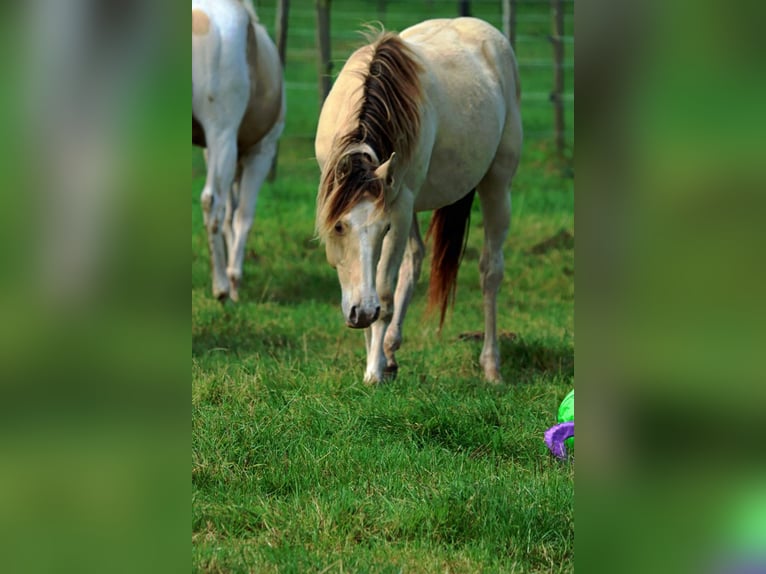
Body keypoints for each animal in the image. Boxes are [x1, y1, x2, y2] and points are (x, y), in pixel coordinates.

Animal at [194, 0, 286, 304]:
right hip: (222, 133)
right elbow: (243, 215)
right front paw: (234, 280)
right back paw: (221, 287)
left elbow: (230, 216)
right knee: (212, 202)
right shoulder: (261, 153)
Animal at [316, 18, 524, 388]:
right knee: (413, 261)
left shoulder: (398, 210)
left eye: (383, 228)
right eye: (339, 227)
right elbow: (365, 278)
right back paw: (390, 352)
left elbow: (383, 291)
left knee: (490, 272)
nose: (361, 313)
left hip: (497, 186)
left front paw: (373, 372)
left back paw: (491, 366)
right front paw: (376, 357)